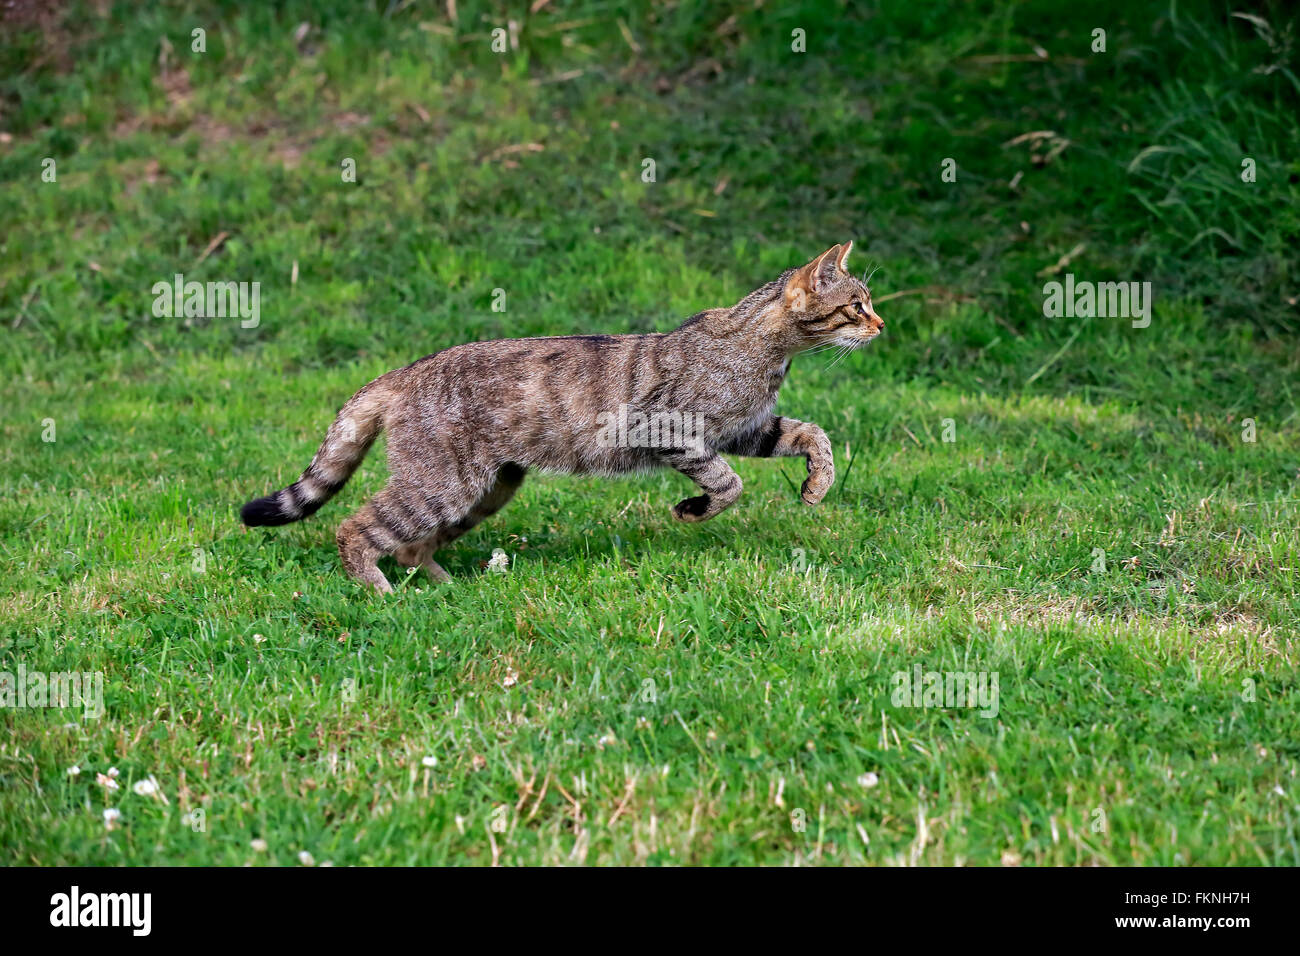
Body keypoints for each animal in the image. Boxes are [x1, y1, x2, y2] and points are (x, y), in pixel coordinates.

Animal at [241, 240, 883, 590]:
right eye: (855, 306)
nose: (881, 325)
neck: (768, 354)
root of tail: (404, 370)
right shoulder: (673, 430)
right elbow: (729, 485)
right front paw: (694, 509)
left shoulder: (749, 429)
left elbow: (815, 435)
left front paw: (817, 485)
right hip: (441, 486)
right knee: (356, 530)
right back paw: (380, 592)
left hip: (487, 489)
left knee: (409, 547)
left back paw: (446, 591)